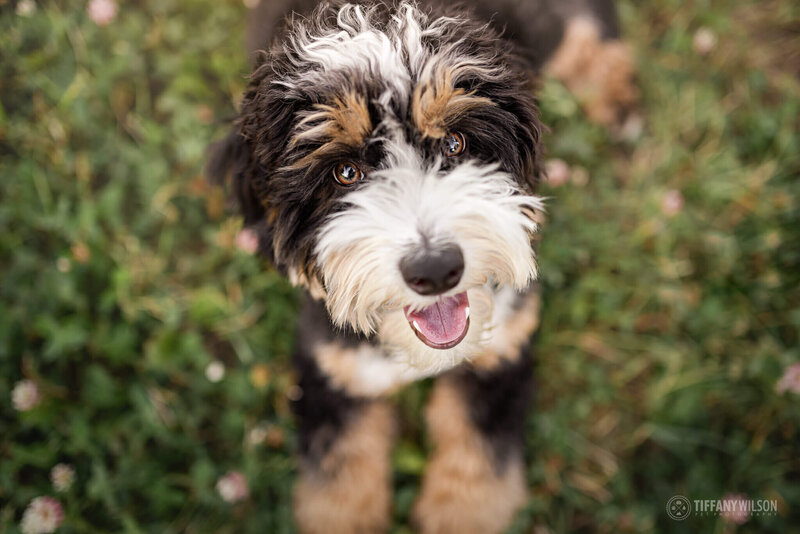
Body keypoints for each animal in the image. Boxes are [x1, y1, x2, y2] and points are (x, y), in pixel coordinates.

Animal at [208, 2, 636, 532]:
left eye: (454, 144)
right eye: (345, 173)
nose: (435, 270)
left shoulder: (503, 347)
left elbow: (477, 456)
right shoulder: (334, 366)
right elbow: (340, 475)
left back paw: (616, 98)